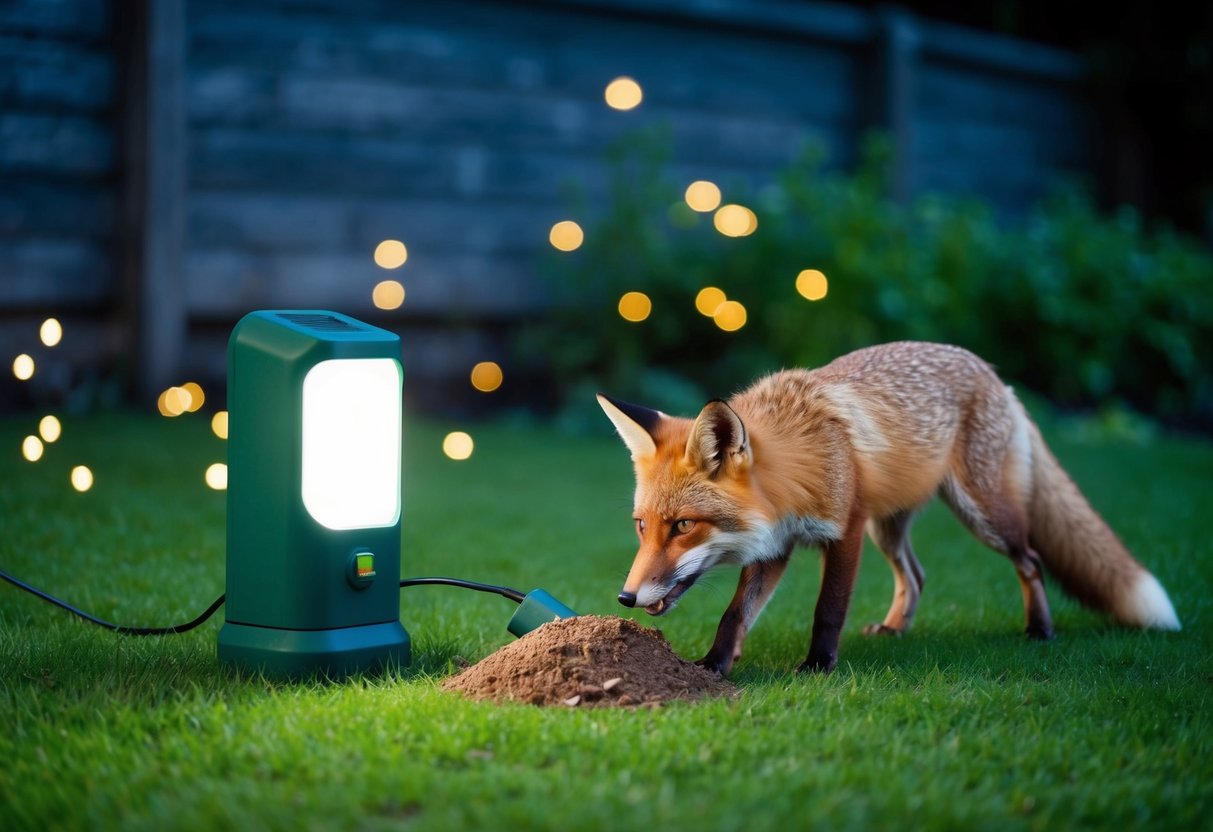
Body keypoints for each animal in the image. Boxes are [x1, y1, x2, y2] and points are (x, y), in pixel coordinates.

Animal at [597, 341, 1180, 675]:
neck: (798, 461)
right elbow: (735, 614)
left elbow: (828, 608)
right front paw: (715, 666)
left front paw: (818, 666)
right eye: (642, 526)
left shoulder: (846, 529)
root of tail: (992, 371)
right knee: (917, 575)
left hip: (982, 515)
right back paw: (897, 627)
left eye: (684, 526)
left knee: (1031, 560)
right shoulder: (775, 544)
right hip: (890, 527)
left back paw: (1040, 629)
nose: (625, 597)